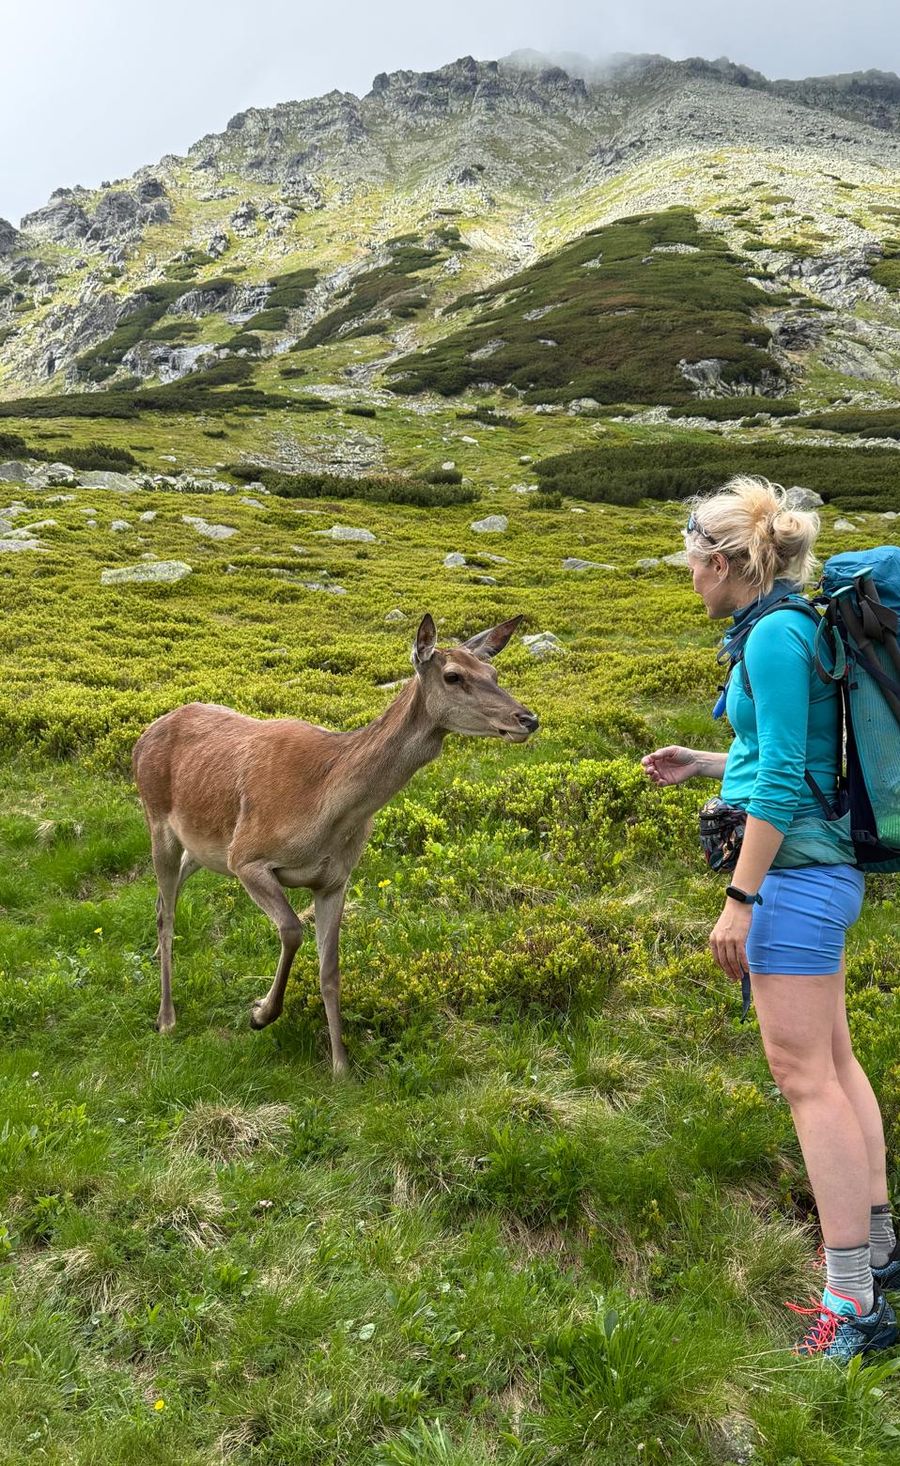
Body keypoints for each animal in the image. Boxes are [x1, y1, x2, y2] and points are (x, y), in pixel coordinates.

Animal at [132, 614, 538, 1075]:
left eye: (493, 672)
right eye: (453, 676)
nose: (528, 719)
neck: (326, 809)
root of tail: (143, 736)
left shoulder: (335, 879)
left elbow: (331, 971)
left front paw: (341, 1066)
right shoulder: (247, 856)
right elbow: (292, 931)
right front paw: (261, 1013)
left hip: (204, 848)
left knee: (169, 894)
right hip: (158, 819)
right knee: (165, 912)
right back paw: (166, 1017)